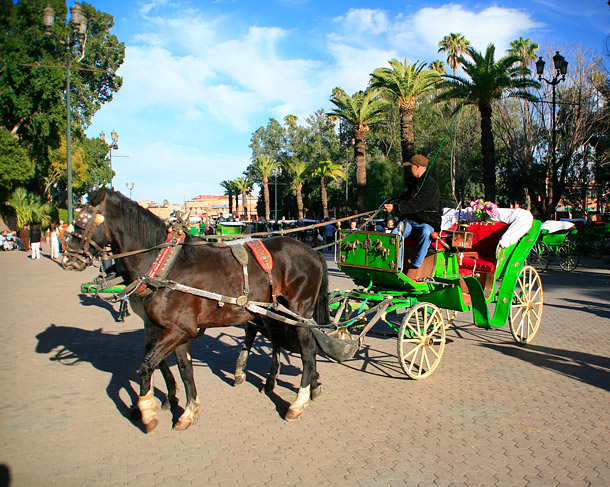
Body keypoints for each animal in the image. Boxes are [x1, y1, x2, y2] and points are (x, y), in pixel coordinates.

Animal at [63, 189, 328, 432]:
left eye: (82, 220)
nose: (69, 258)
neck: (163, 264)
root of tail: (312, 252)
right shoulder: (171, 329)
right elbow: (183, 369)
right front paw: (187, 409)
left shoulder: (178, 329)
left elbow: (146, 365)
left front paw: (147, 410)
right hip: (273, 311)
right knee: (281, 341)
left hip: (299, 310)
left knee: (307, 350)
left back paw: (298, 401)